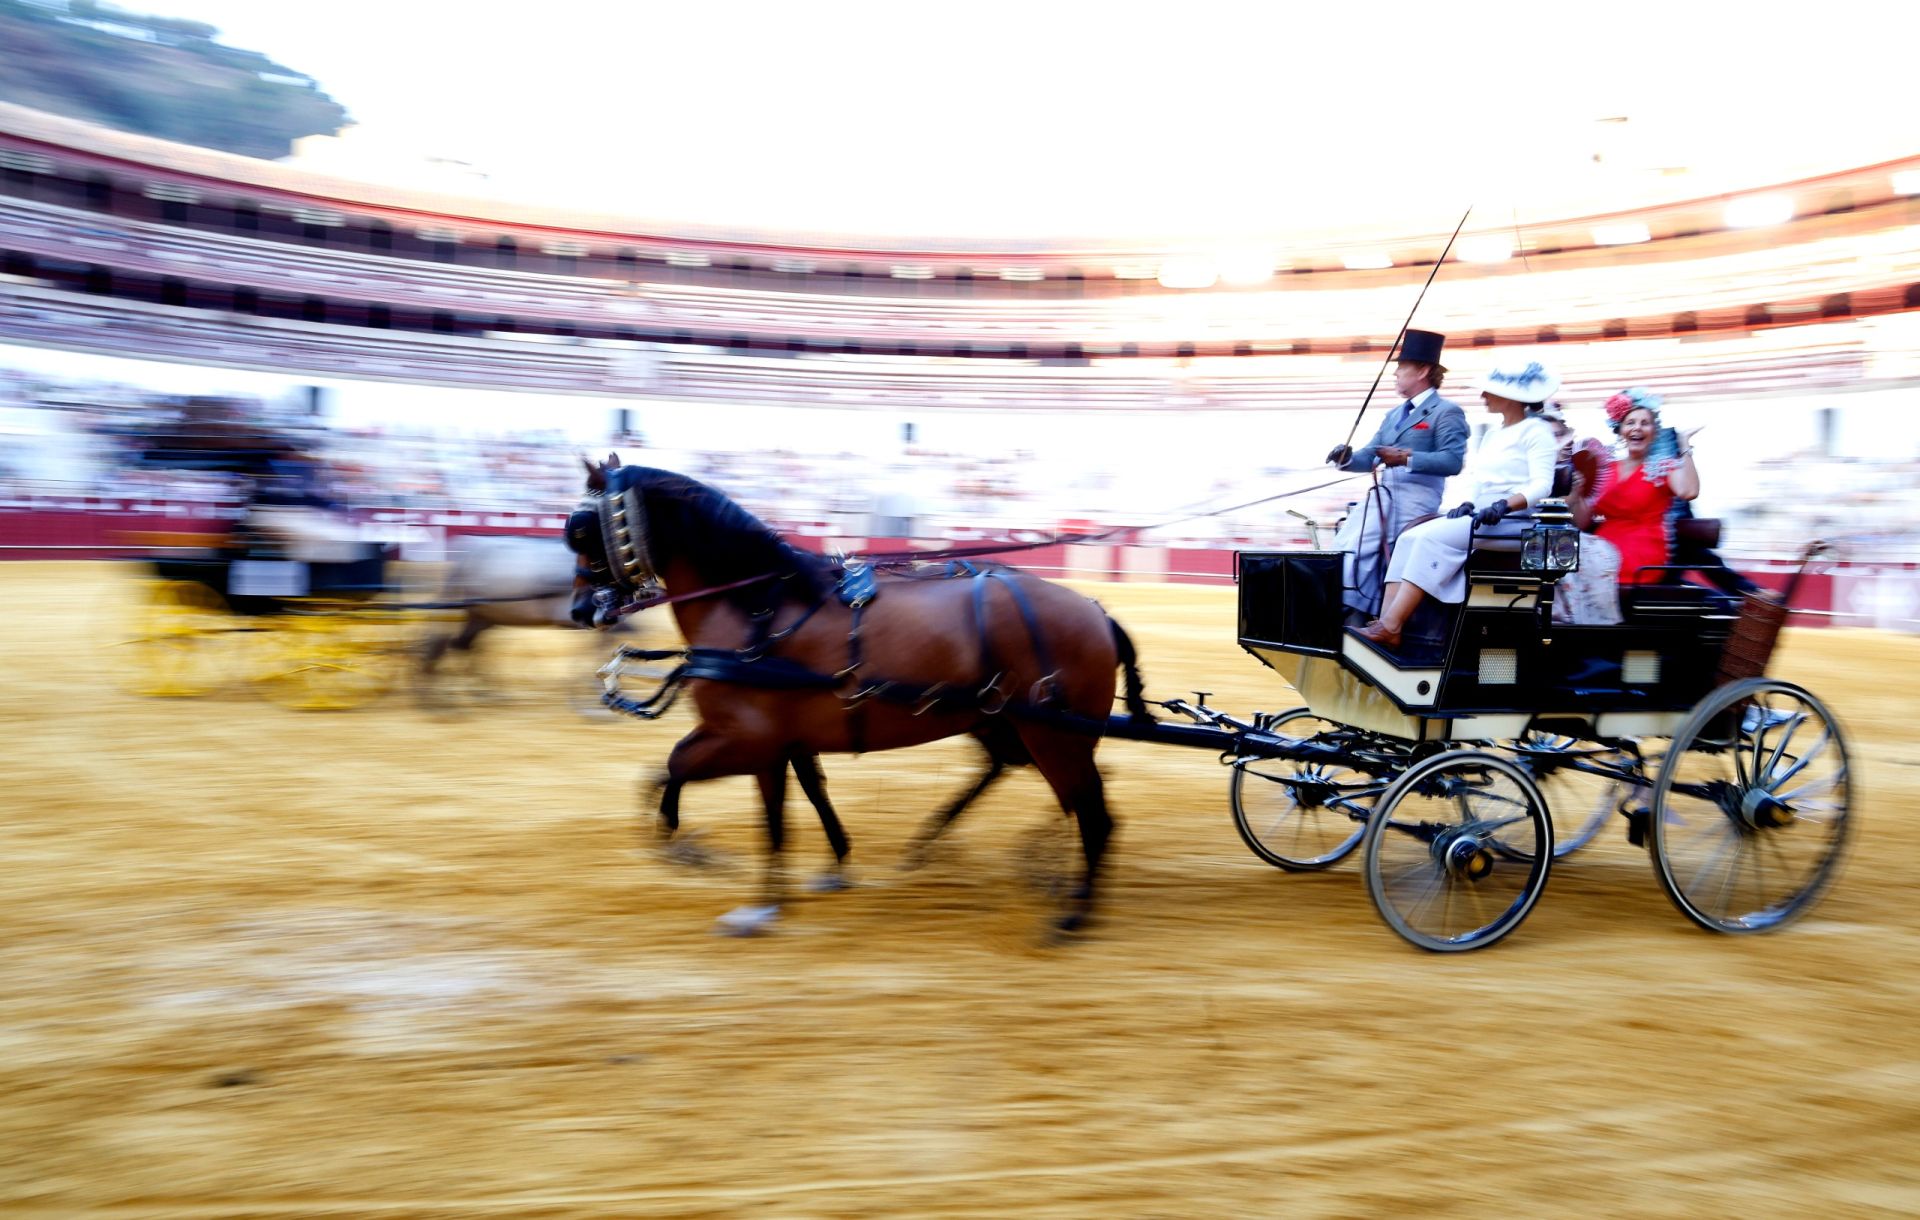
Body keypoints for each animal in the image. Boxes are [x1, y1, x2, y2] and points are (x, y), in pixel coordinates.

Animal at [560, 457, 1144, 933]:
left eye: (583, 531)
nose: (580, 609)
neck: (756, 608)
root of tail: (1096, 613)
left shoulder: (748, 738)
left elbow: (695, 778)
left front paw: (721, 874)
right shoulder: (781, 741)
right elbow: (798, 797)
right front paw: (824, 869)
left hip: (1053, 734)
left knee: (1091, 810)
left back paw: (1073, 910)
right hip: (1009, 723)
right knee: (1043, 783)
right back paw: (979, 851)